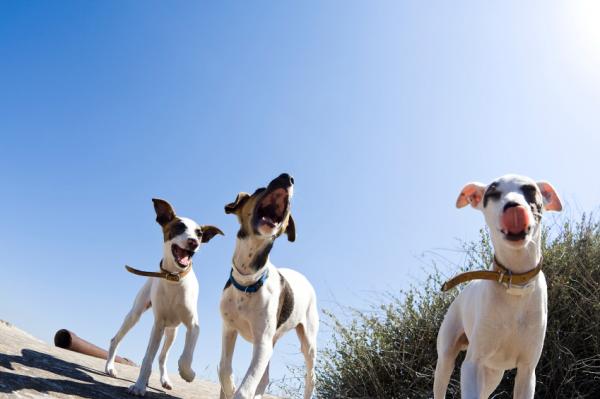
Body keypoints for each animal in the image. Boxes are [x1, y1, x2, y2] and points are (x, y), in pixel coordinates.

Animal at [104, 200, 224, 396]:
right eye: (179, 226)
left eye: (199, 233)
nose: (193, 242)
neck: (174, 278)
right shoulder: (158, 324)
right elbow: (147, 359)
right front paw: (139, 386)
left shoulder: (193, 327)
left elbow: (185, 358)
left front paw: (188, 374)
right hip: (136, 315)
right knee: (117, 340)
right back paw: (110, 367)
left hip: (172, 332)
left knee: (162, 356)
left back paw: (165, 380)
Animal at [217, 174, 318, 399]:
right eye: (259, 189)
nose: (286, 177)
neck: (249, 280)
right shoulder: (229, 329)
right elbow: (224, 369)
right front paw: (229, 387)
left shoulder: (262, 342)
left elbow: (245, 389)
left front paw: (238, 391)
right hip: (272, 340)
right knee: (264, 378)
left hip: (307, 342)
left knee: (311, 377)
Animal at [434, 175, 560, 399]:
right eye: (492, 192)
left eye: (530, 190)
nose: (514, 206)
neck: (515, 285)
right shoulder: (471, 365)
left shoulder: (527, 371)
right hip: (446, 359)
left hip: (493, 373)